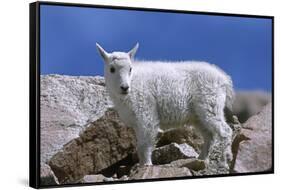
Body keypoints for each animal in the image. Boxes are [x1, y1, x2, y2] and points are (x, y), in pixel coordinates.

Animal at [95, 42, 233, 168]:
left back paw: (224, 161)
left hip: (210, 104)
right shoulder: (136, 121)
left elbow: (144, 144)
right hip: (198, 116)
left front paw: (147, 165)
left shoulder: (146, 113)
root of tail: (224, 78)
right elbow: (139, 144)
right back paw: (202, 159)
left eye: (130, 68)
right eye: (112, 69)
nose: (124, 87)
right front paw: (141, 165)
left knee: (225, 131)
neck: (133, 83)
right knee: (209, 135)